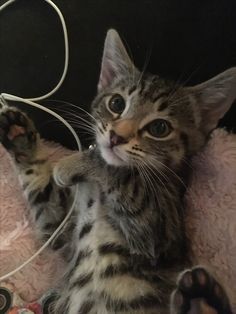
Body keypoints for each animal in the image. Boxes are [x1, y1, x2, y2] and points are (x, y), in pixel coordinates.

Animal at [0, 29, 235, 314]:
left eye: (159, 128)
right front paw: (19, 136)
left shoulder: (161, 228)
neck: (98, 191)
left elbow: (123, 175)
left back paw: (201, 297)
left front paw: (73, 164)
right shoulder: (62, 234)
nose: (116, 137)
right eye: (116, 103)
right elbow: (46, 202)